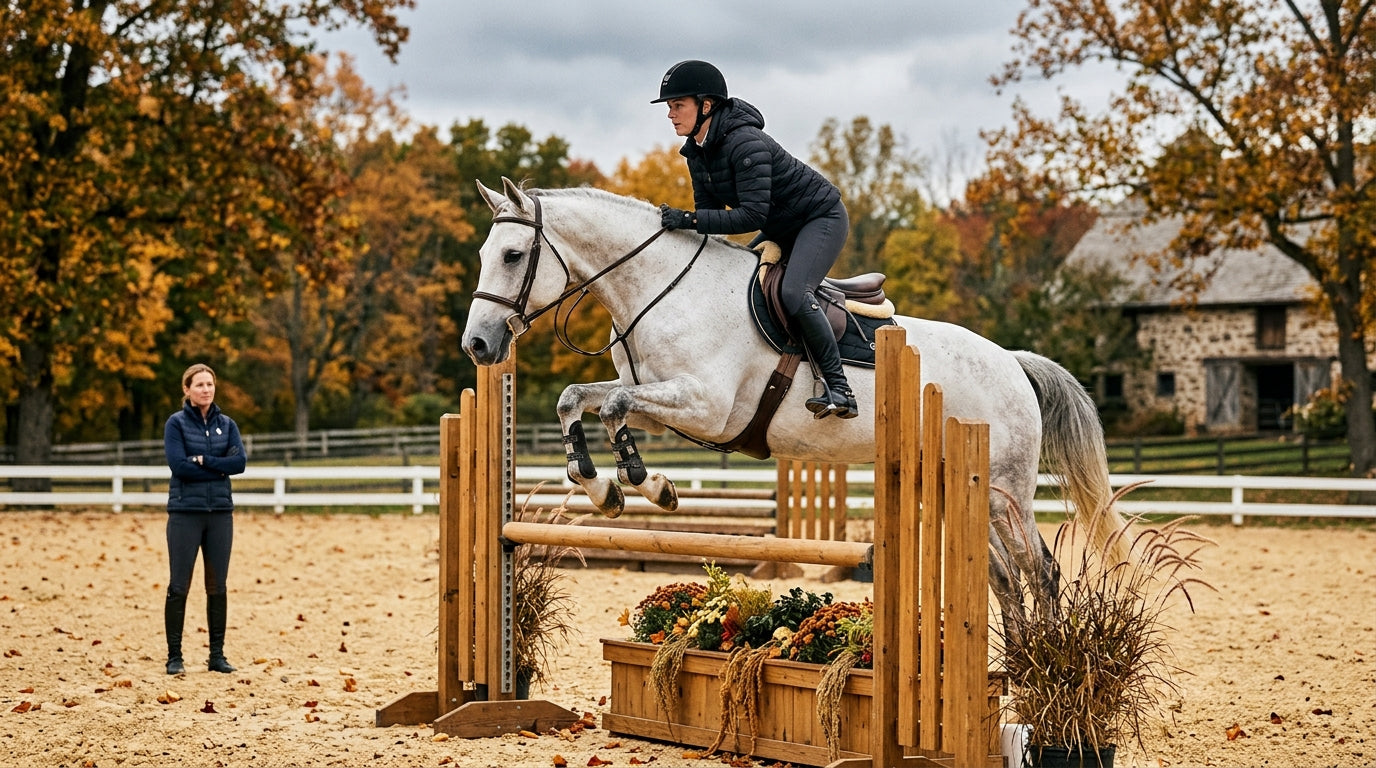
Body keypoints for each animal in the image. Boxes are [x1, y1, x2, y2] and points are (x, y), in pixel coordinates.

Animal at [460, 177, 1131, 629]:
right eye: (485, 255)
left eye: (513, 256)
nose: (478, 344)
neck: (660, 287)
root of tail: (1012, 363)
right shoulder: (663, 401)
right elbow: (582, 400)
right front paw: (609, 487)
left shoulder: (705, 406)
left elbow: (612, 406)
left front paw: (639, 486)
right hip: (956, 487)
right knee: (1003, 576)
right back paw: (1016, 677)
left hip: (1002, 489)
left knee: (1039, 570)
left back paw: (1045, 677)